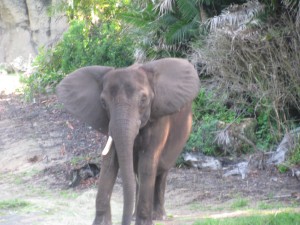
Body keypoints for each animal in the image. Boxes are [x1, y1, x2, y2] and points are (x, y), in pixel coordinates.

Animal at [57, 58, 200, 225]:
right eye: (103, 102)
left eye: (144, 99)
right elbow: (109, 162)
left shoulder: (159, 119)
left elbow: (147, 162)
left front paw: (144, 222)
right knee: (137, 172)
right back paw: (135, 216)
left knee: (161, 170)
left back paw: (159, 217)